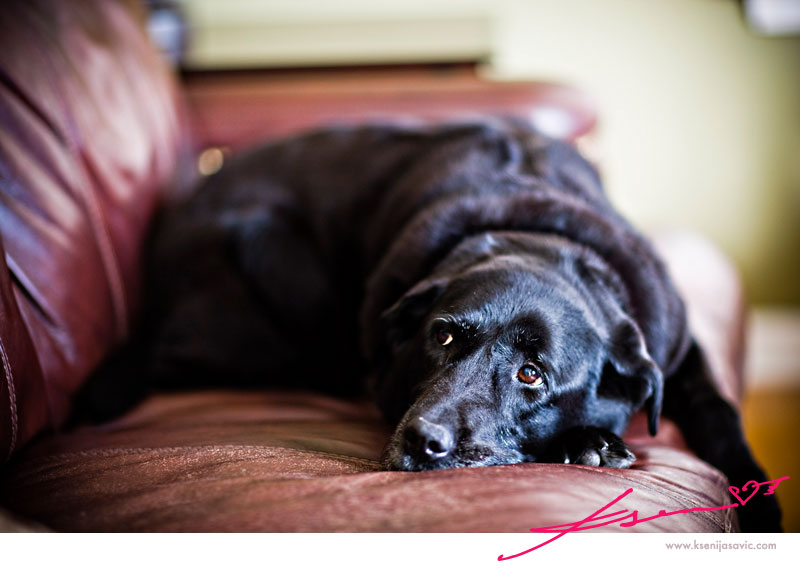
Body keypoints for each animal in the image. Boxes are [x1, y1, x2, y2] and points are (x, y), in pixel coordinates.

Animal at [82, 118, 781, 531]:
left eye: (533, 374)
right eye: (442, 336)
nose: (424, 442)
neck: (539, 234)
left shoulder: (680, 352)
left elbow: (720, 412)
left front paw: (762, 506)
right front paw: (590, 442)